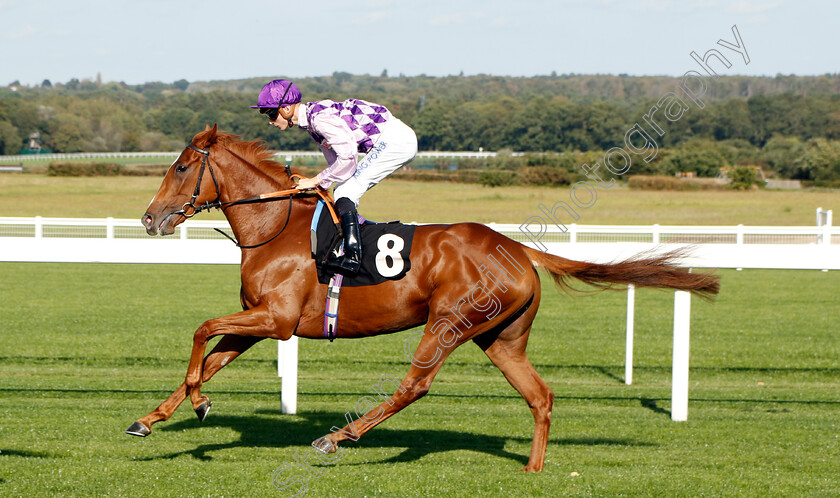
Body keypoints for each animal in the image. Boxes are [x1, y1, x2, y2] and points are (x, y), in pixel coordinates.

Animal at [128, 124, 720, 470]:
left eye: (181, 167)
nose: (150, 219)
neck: (276, 227)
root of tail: (517, 248)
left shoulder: (275, 320)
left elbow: (202, 332)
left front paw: (198, 404)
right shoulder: (260, 320)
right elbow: (211, 356)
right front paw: (155, 416)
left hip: (448, 323)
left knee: (415, 385)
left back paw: (337, 438)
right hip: (501, 338)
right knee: (540, 395)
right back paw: (532, 469)